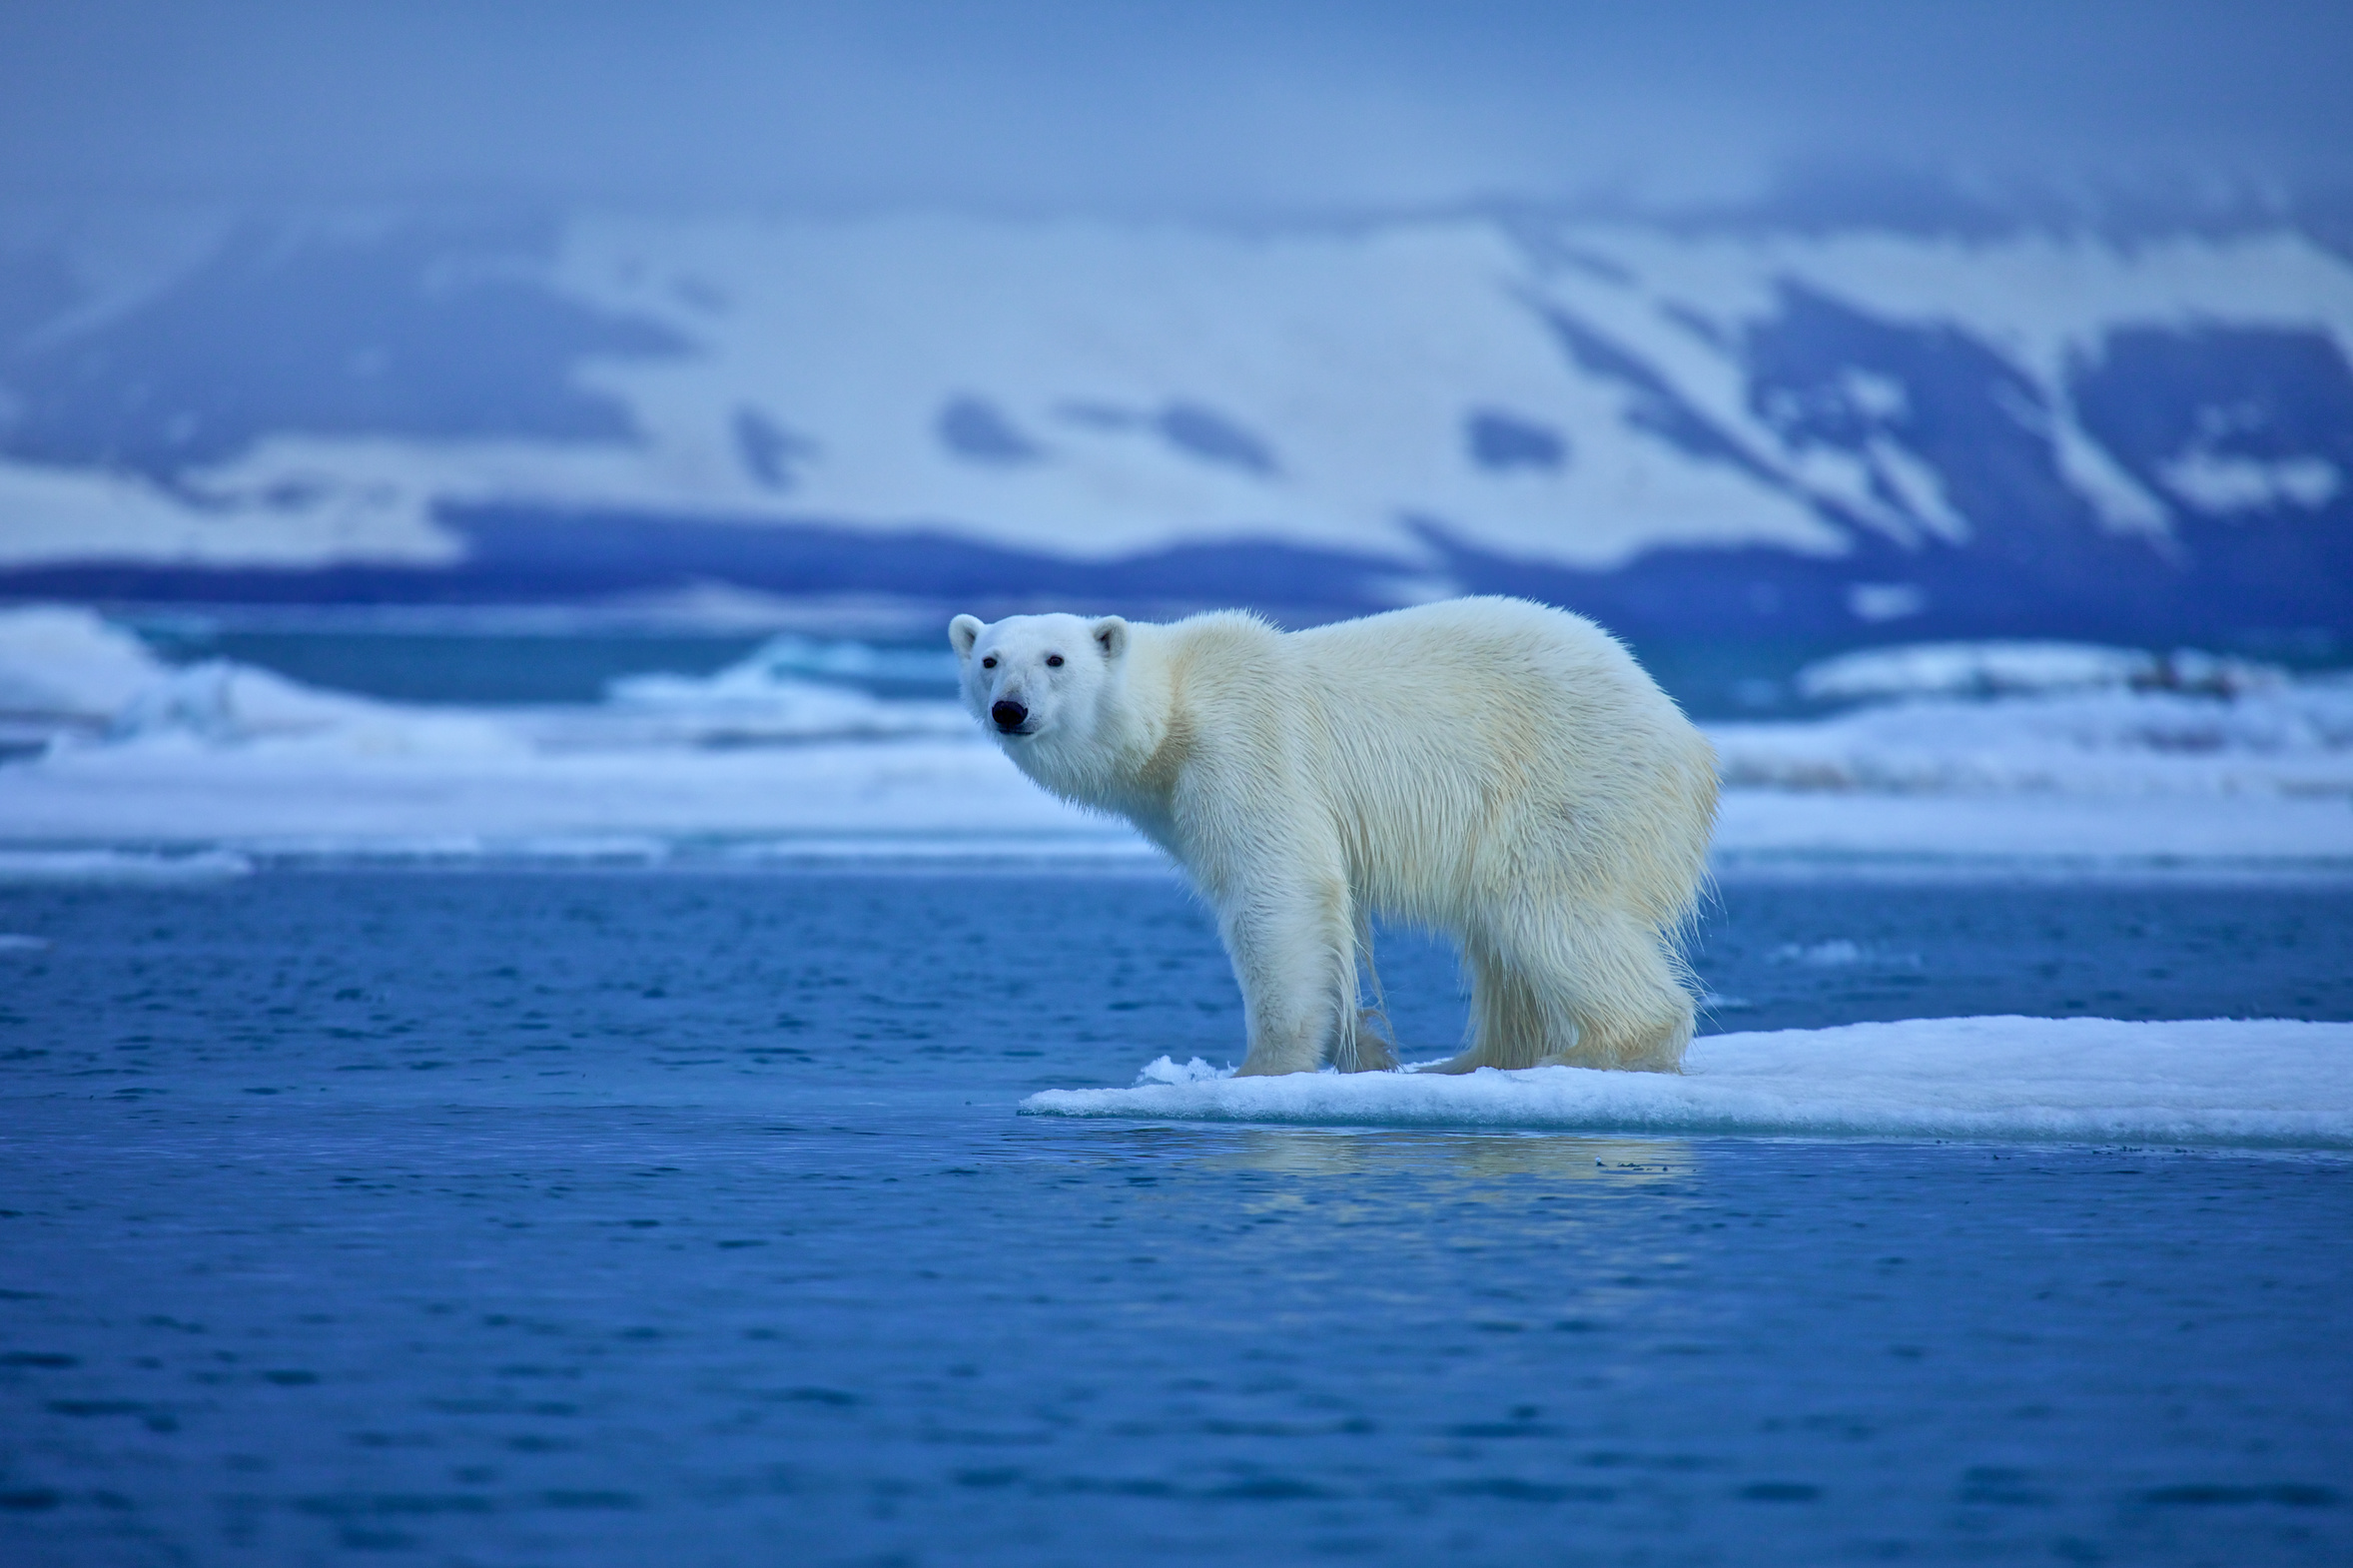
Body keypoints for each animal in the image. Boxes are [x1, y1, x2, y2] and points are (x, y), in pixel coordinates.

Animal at [946, 597, 1722, 1073]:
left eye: (1056, 659)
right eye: (988, 659)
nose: (1010, 709)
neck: (1172, 712)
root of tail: (1689, 738)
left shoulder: (1246, 747)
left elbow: (1278, 889)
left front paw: (1261, 1066)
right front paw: (1368, 1049)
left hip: (1572, 782)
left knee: (1548, 911)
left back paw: (1594, 1050)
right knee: (1501, 941)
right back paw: (1469, 1061)